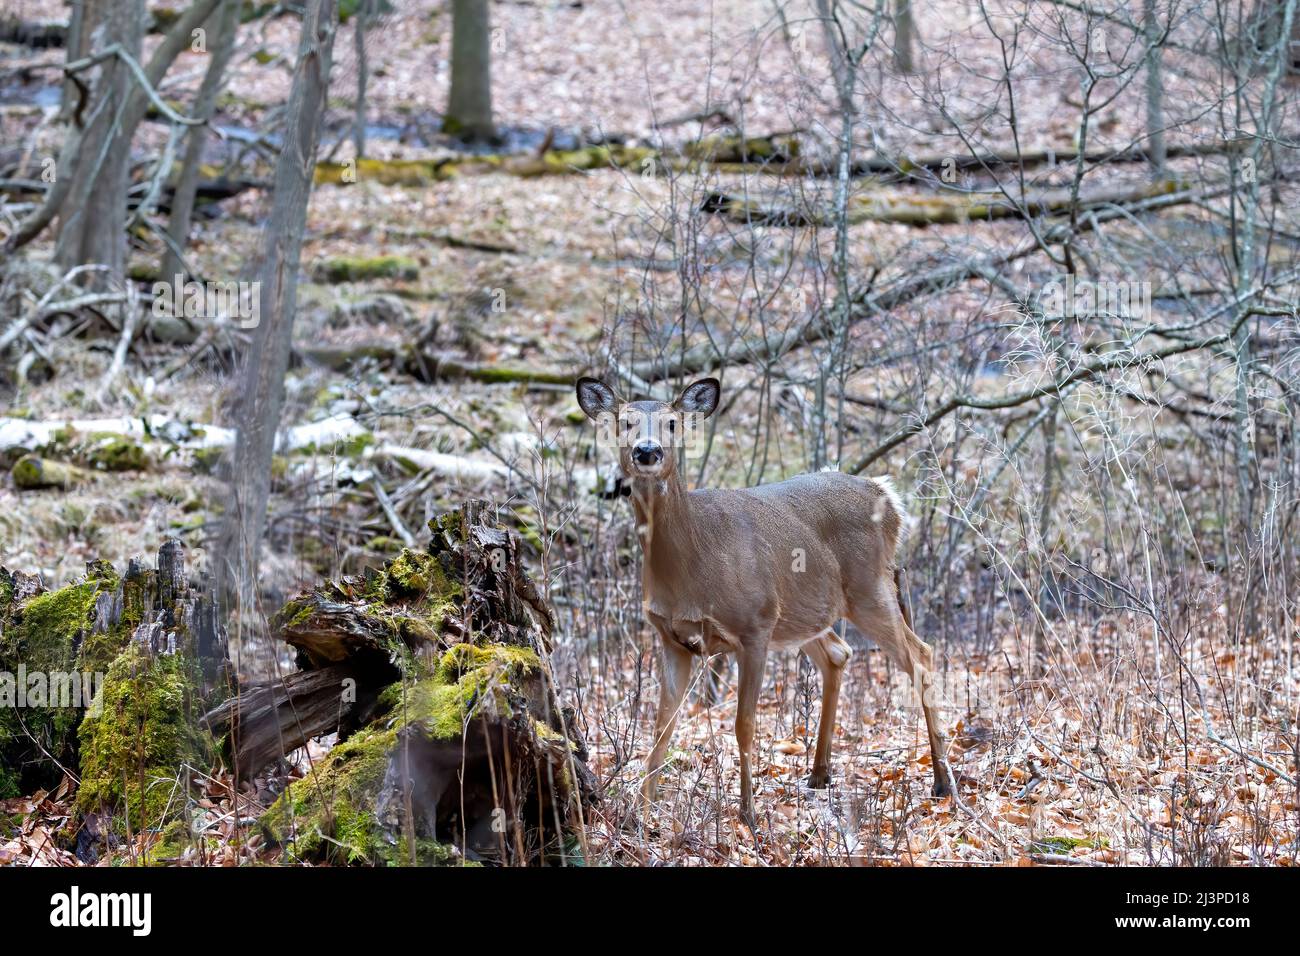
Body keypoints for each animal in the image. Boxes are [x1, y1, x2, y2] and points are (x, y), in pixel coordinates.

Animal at [576, 375, 953, 825]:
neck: (691, 563)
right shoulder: (671, 637)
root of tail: (887, 497)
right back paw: (820, 774)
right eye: (624, 421)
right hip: (803, 611)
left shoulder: (754, 625)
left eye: (672, 422)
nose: (647, 451)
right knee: (839, 653)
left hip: (868, 589)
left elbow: (744, 724)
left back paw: (942, 782)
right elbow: (661, 725)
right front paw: (641, 815)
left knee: (922, 655)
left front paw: (749, 814)